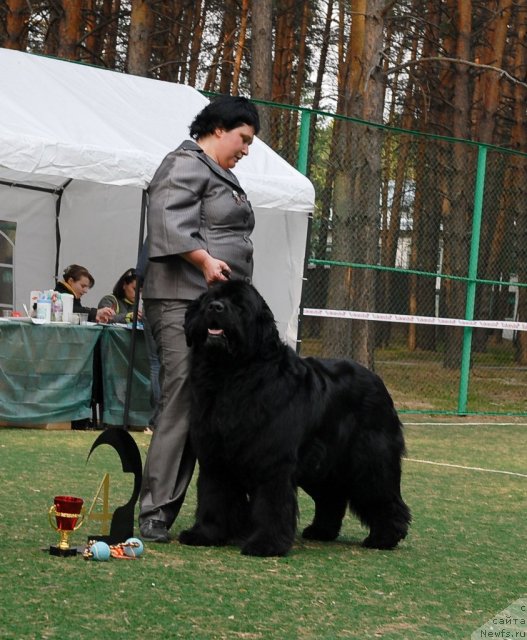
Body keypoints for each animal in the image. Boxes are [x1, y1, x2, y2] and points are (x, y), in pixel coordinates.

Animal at [179, 280, 410, 556]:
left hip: (368, 460)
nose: (216, 307)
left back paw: (384, 537)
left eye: (239, 304)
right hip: (323, 465)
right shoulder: (215, 456)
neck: (231, 376)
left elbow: (272, 504)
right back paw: (321, 531)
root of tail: (378, 380)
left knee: (382, 495)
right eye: (210, 299)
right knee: (331, 496)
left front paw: (266, 544)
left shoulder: (273, 460)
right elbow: (213, 496)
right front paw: (205, 533)